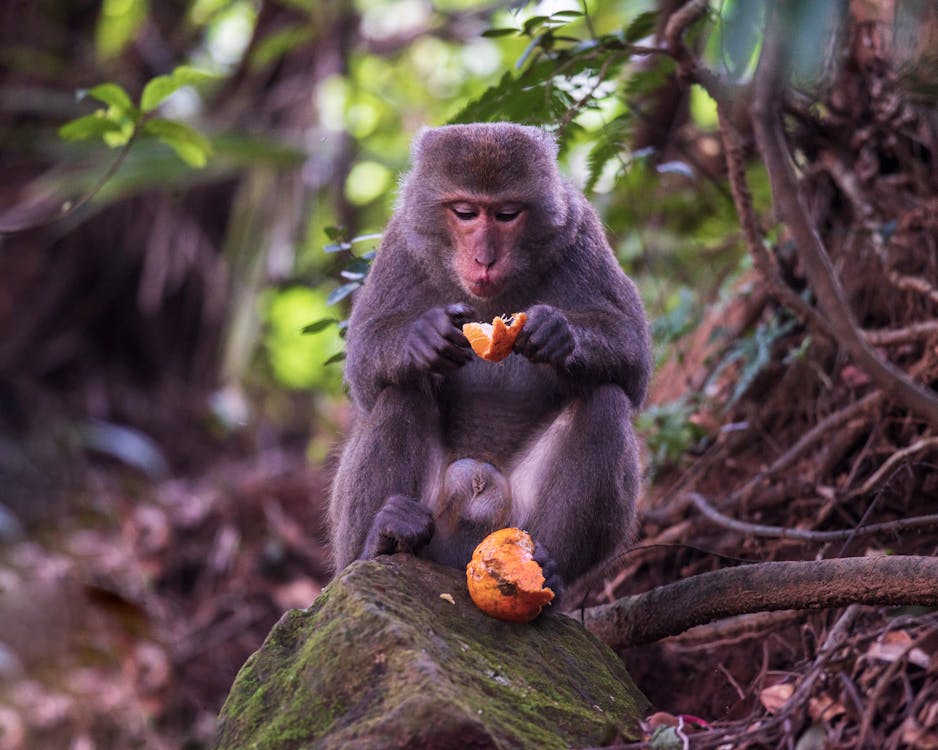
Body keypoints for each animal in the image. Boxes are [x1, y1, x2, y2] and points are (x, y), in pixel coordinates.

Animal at [330, 123, 652, 604]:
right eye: (465, 213)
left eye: (506, 215)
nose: (484, 258)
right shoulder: (401, 240)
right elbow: (365, 368)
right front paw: (421, 338)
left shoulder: (580, 232)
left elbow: (634, 362)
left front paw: (559, 335)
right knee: (401, 391)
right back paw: (380, 543)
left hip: (515, 520)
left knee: (606, 400)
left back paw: (550, 572)